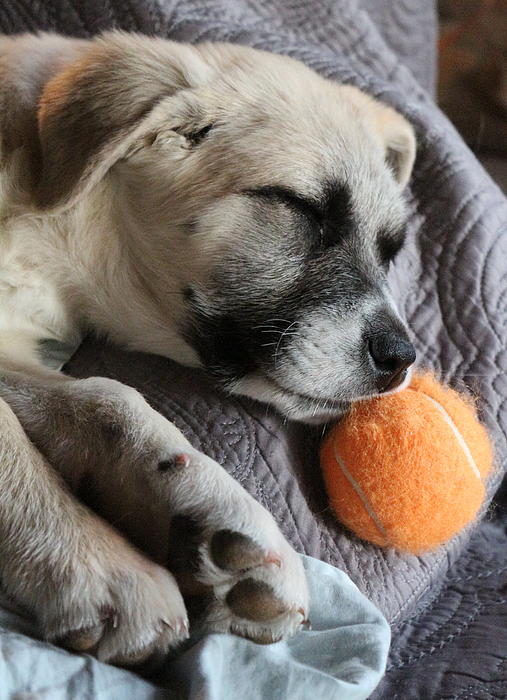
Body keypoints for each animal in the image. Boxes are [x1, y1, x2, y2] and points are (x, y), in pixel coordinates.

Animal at [0, 32, 414, 668]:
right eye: (299, 208)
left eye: (390, 250)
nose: (402, 360)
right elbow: (11, 441)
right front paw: (92, 563)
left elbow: (105, 397)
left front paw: (202, 509)